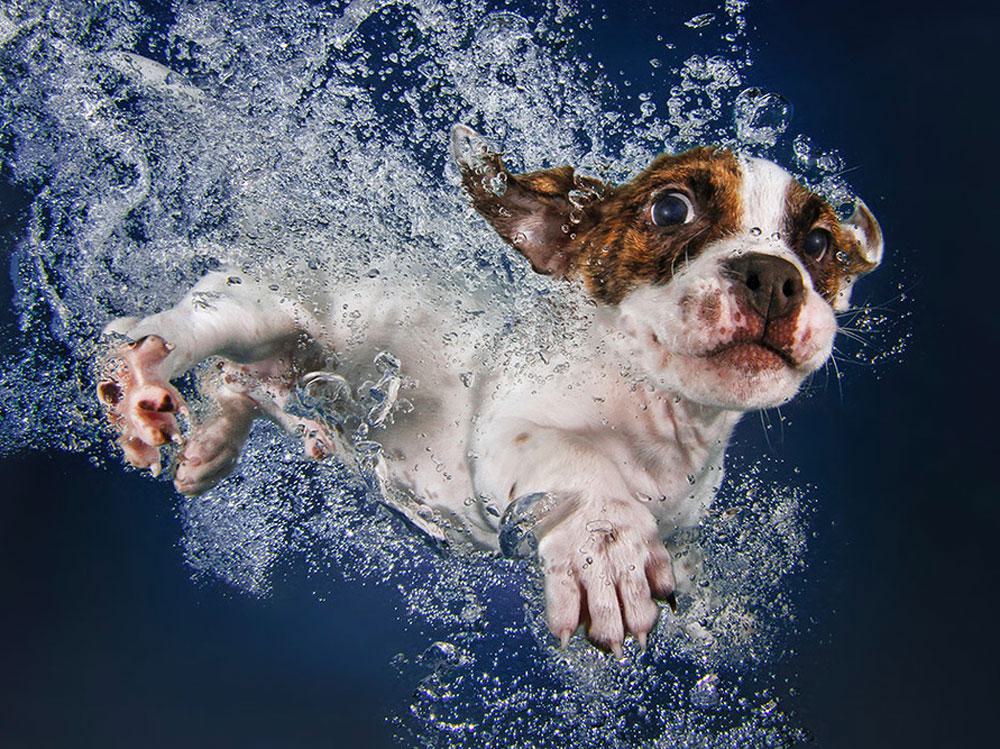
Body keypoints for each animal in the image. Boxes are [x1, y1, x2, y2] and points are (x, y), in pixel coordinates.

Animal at [95, 127, 884, 656]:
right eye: (670, 211)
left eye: (818, 246)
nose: (773, 276)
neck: (654, 420)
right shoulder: (508, 435)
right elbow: (581, 467)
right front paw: (606, 545)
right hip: (253, 304)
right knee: (189, 332)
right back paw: (142, 383)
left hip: (282, 362)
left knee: (239, 381)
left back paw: (213, 446)